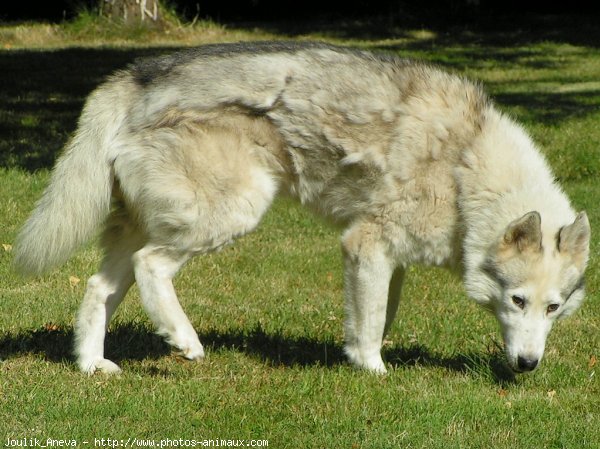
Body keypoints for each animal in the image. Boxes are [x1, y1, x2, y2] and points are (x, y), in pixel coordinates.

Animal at [15, 42, 592, 372]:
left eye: (553, 308)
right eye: (517, 300)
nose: (527, 366)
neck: (467, 166)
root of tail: (133, 77)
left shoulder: (384, 258)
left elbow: (375, 315)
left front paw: (357, 356)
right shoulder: (366, 245)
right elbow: (372, 324)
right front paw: (373, 373)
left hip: (139, 229)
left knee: (98, 289)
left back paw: (93, 365)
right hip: (232, 212)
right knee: (151, 266)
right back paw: (184, 340)